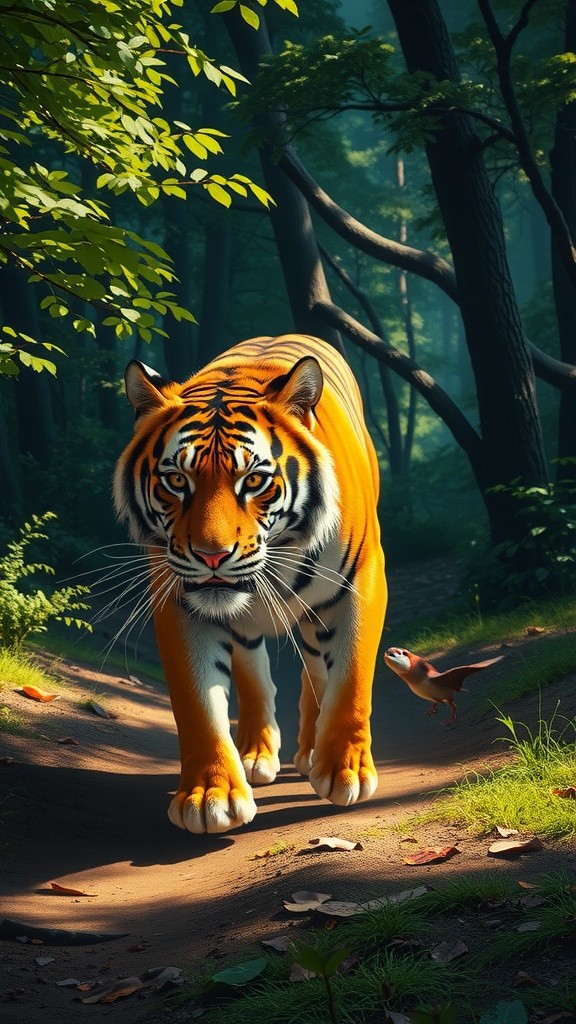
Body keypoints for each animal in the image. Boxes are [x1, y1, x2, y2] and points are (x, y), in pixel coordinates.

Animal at [114, 333, 387, 834]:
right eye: (176, 480)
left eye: (255, 480)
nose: (211, 555)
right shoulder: (180, 602)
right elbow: (198, 703)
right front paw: (209, 796)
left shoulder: (362, 581)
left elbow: (351, 678)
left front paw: (347, 771)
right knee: (254, 675)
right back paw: (256, 755)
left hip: (315, 620)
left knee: (317, 671)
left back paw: (311, 752)